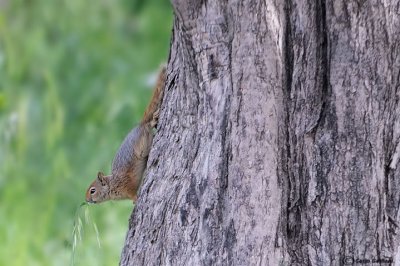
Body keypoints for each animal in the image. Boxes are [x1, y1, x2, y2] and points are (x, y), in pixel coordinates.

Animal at [85, 66, 166, 204]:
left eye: (92, 190)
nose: (86, 200)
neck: (112, 185)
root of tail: (139, 126)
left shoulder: (126, 185)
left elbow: (132, 193)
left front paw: (135, 199)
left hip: (142, 145)